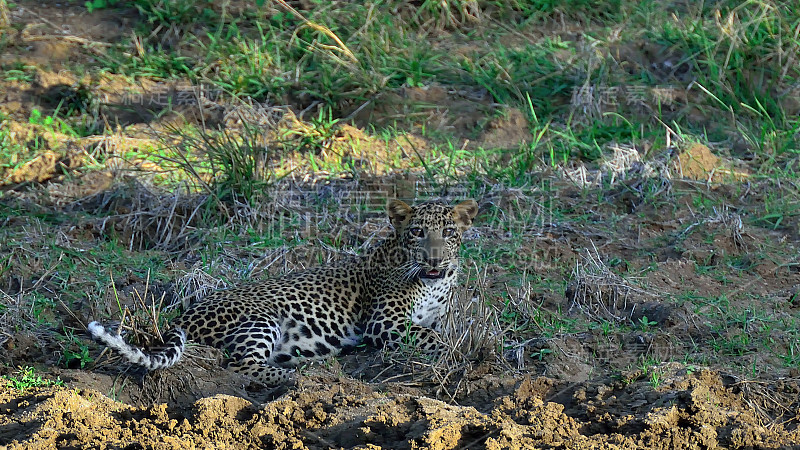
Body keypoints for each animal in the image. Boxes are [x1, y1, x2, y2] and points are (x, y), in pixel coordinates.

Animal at [89, 199, 476, 384]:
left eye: (449, 233)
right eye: (417, 232)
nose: (435, 260)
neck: (434, 282)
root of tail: (184, 315)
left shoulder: (438, 317)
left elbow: (438, 332)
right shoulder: (384, 322)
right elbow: (432, 338)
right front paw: (459, 358)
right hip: (262, 318)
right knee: (240, 365)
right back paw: (301, 379)